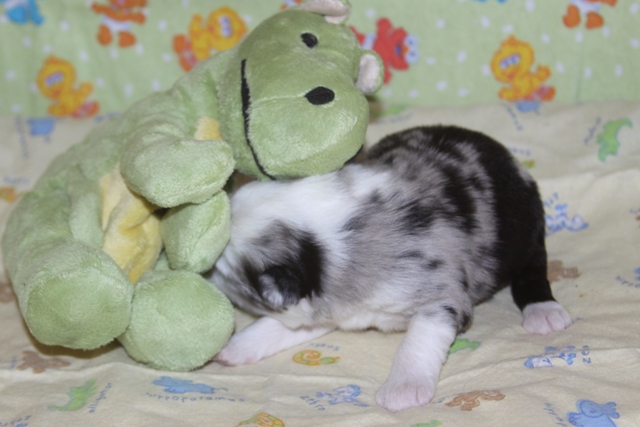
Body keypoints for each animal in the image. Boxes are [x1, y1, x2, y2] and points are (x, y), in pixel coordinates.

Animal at [210, 125, 572, 412]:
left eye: (224, 271)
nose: (205, 275)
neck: (336, 240)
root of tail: (509, 158)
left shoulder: (442, 297)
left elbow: (419, 339)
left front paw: (403, 390)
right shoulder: (329, 306)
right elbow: (281, 326)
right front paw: (236, 347)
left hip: (528, 227)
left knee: (533, 269)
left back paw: (544, 313)